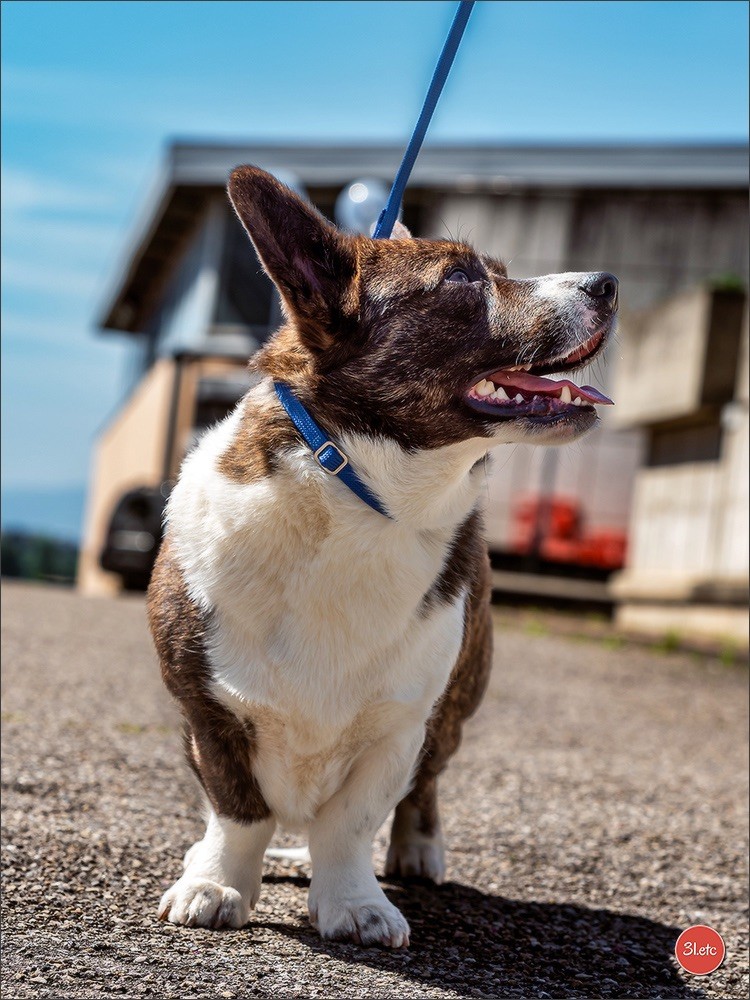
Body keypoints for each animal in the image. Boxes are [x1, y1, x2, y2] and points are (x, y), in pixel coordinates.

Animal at [147, 164, 616, 944]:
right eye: (462, 278)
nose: (608, 283)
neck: (367, 502)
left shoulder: (400, 726)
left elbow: (350, 824)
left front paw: (356, 906)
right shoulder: (208, 711)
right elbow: (237, 810)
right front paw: (214, 886)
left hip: (456, 708)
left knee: (423, 790)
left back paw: (418, 851)